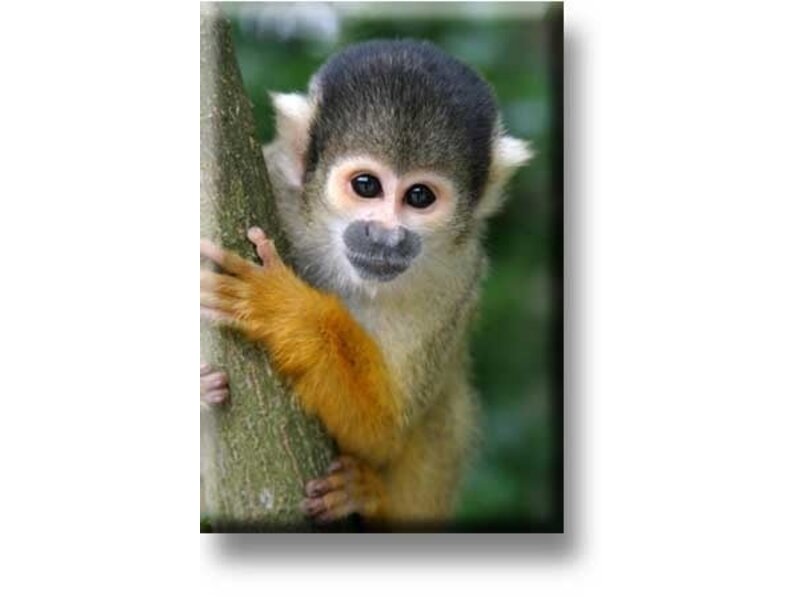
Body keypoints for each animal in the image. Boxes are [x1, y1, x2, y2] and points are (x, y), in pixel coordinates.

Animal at [200, 39, 532, 527]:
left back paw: (369, 497)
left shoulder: (456, 277)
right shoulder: (276, 183)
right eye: (366, 186)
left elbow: (381, 430)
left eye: (419, 196)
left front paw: (284, 310)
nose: (384, 237)